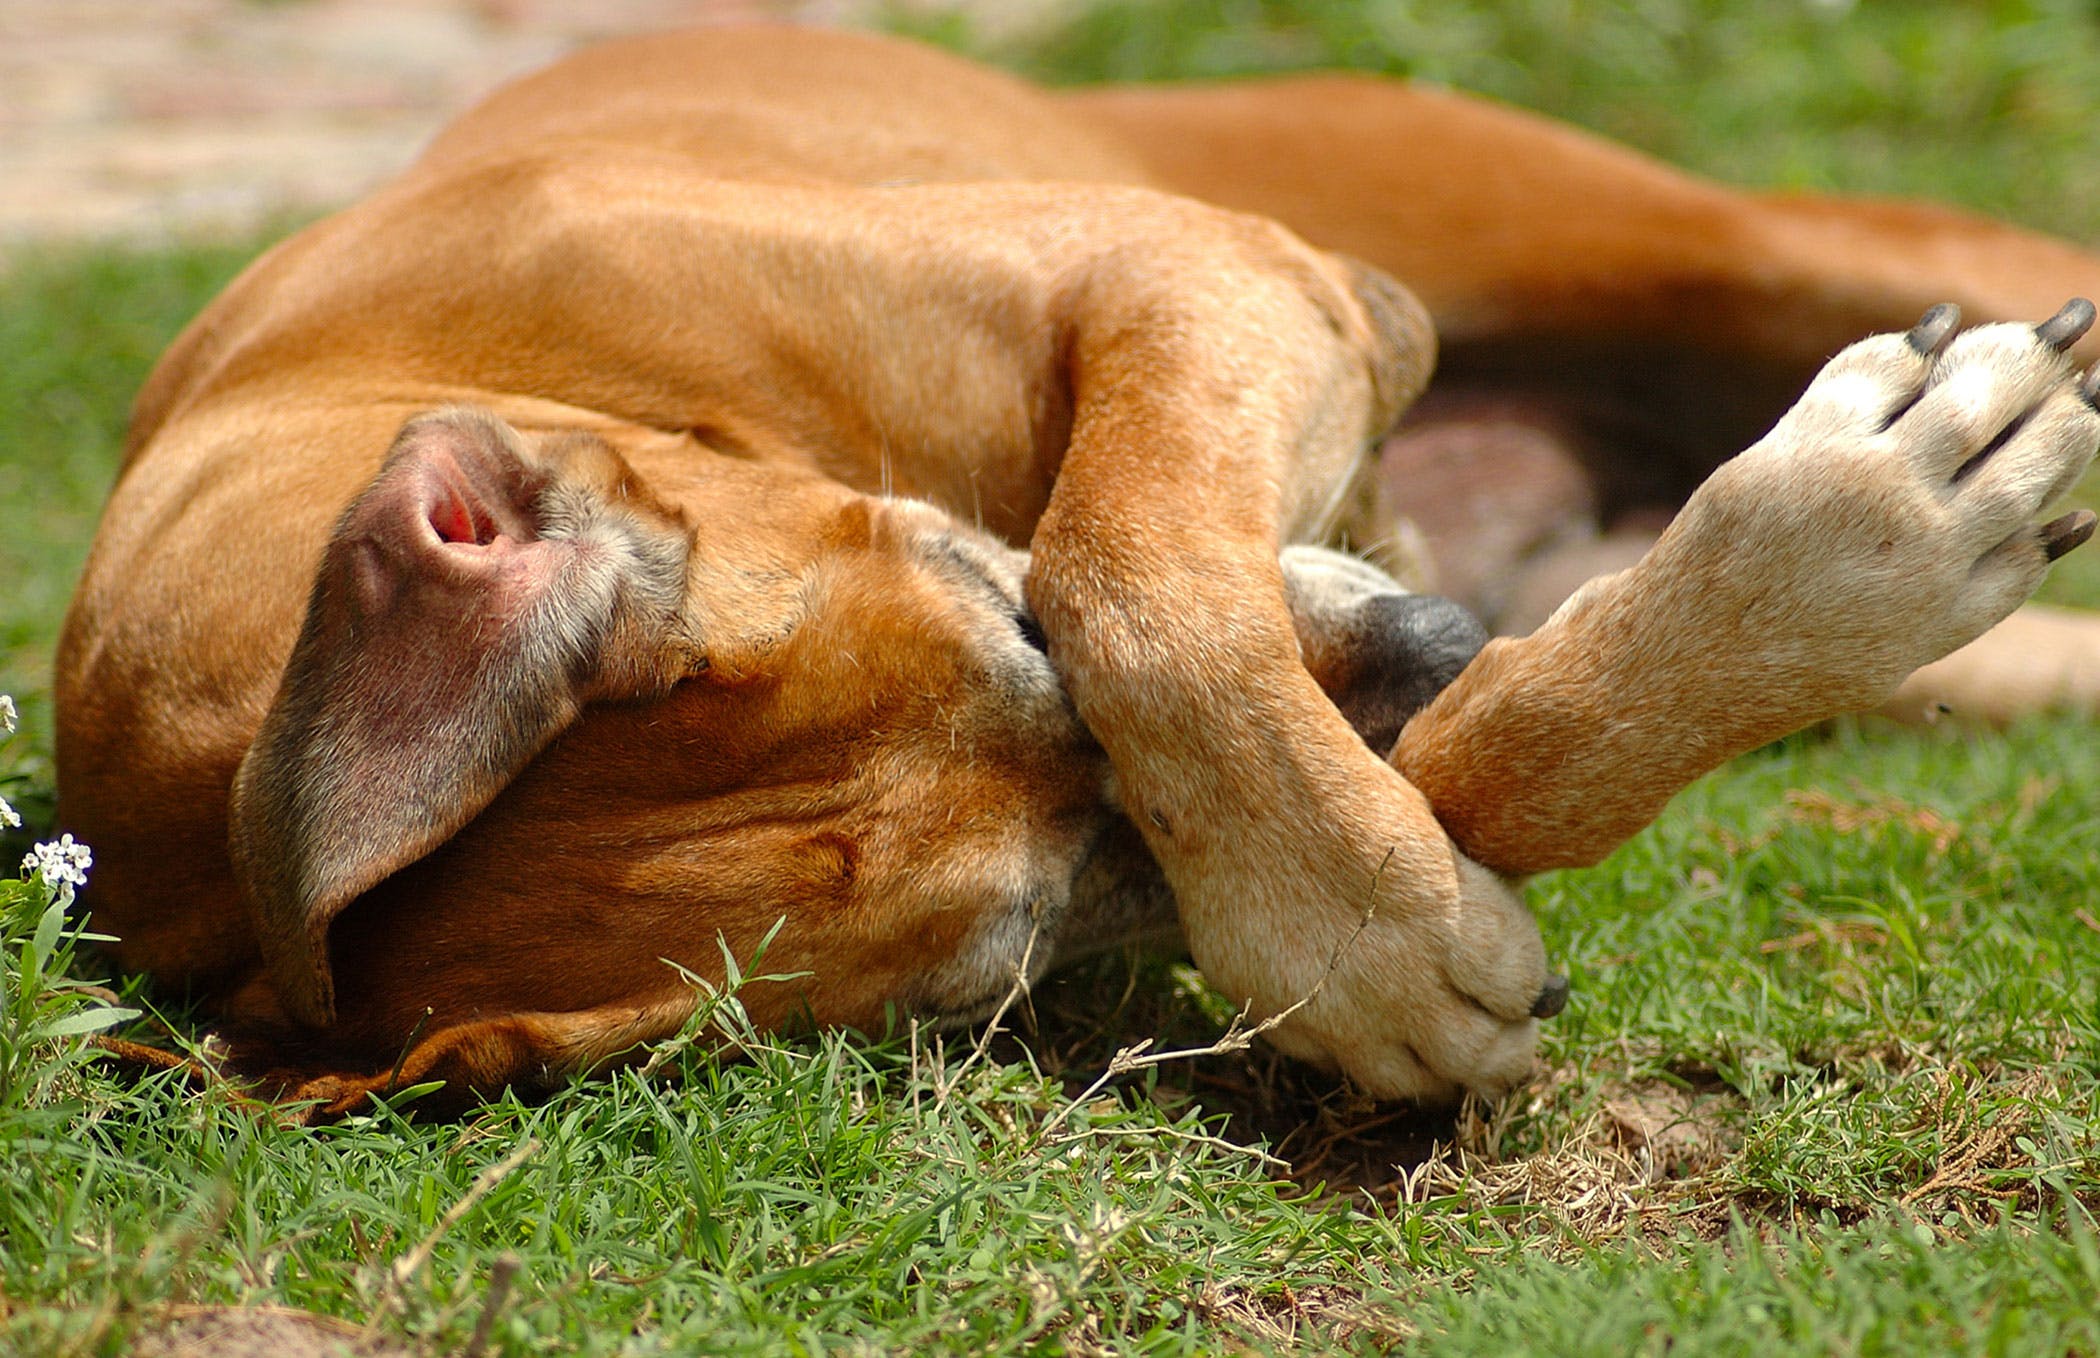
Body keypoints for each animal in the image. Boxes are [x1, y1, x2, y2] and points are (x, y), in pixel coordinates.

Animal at [53, 23, 2100, 1116]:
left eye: (1017, 612)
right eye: (1028, 948)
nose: (1444, 633)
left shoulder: (1209, 277)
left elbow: (1144, 565)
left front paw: (1362, 923)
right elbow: (1460, 758)